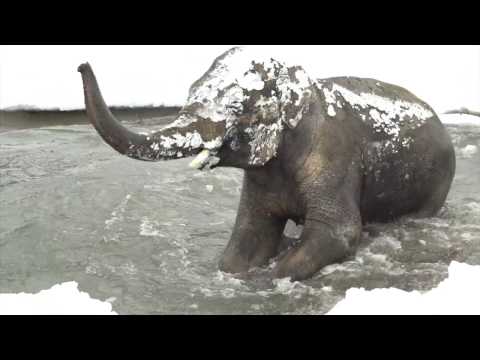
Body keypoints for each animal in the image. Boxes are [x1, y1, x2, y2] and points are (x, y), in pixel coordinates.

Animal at [77, 46, 456, 282]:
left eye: (235, 109)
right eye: (190, 90)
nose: (80, 64)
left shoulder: (334, 159)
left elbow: (339, 232)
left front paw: (273, 276)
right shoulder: (262, 175)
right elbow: (247, 239)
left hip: (437, 182)